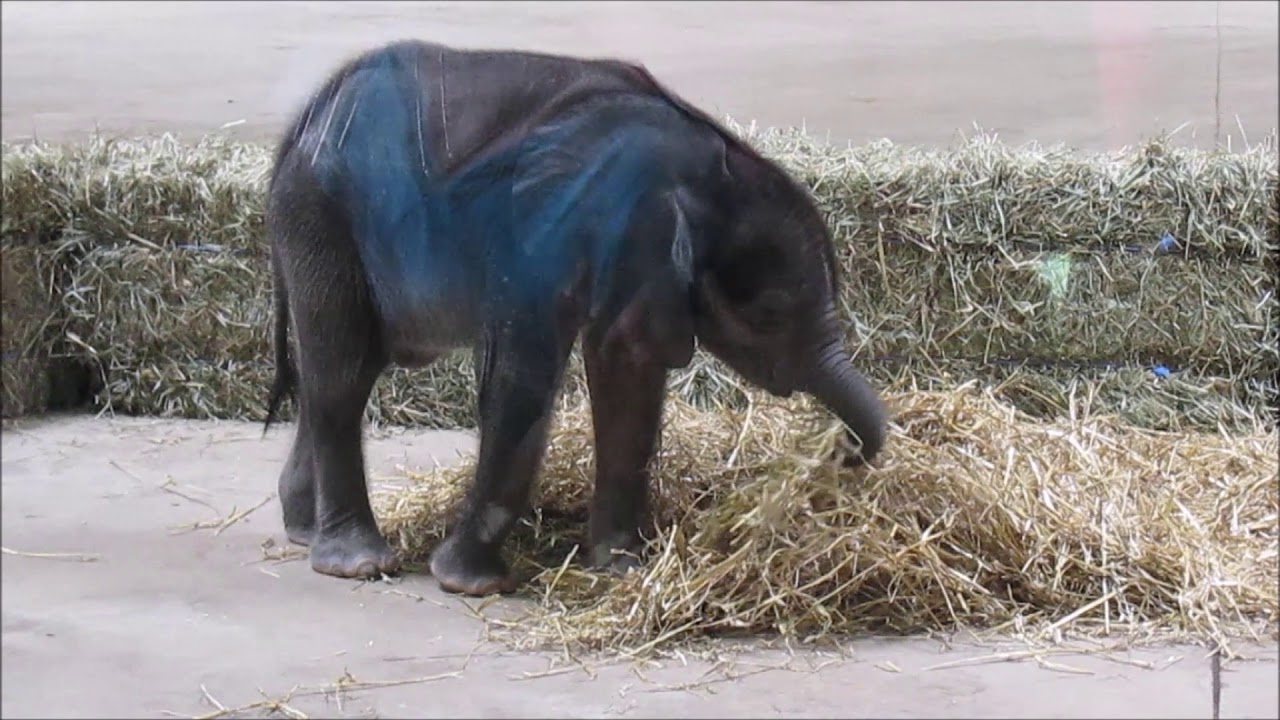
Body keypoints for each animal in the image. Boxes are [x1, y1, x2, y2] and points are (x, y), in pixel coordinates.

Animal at [263, 39, 887, 597]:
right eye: (770, 316)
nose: (835, 456)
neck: (708, 169)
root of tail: (305, 117)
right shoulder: (545, 235)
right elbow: (523, 383)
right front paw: (472, 584)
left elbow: (627, 374)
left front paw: (621, 569)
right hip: (320, 213)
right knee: (342, 372)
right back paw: (357, 563)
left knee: (352, 364)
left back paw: (305, 532)